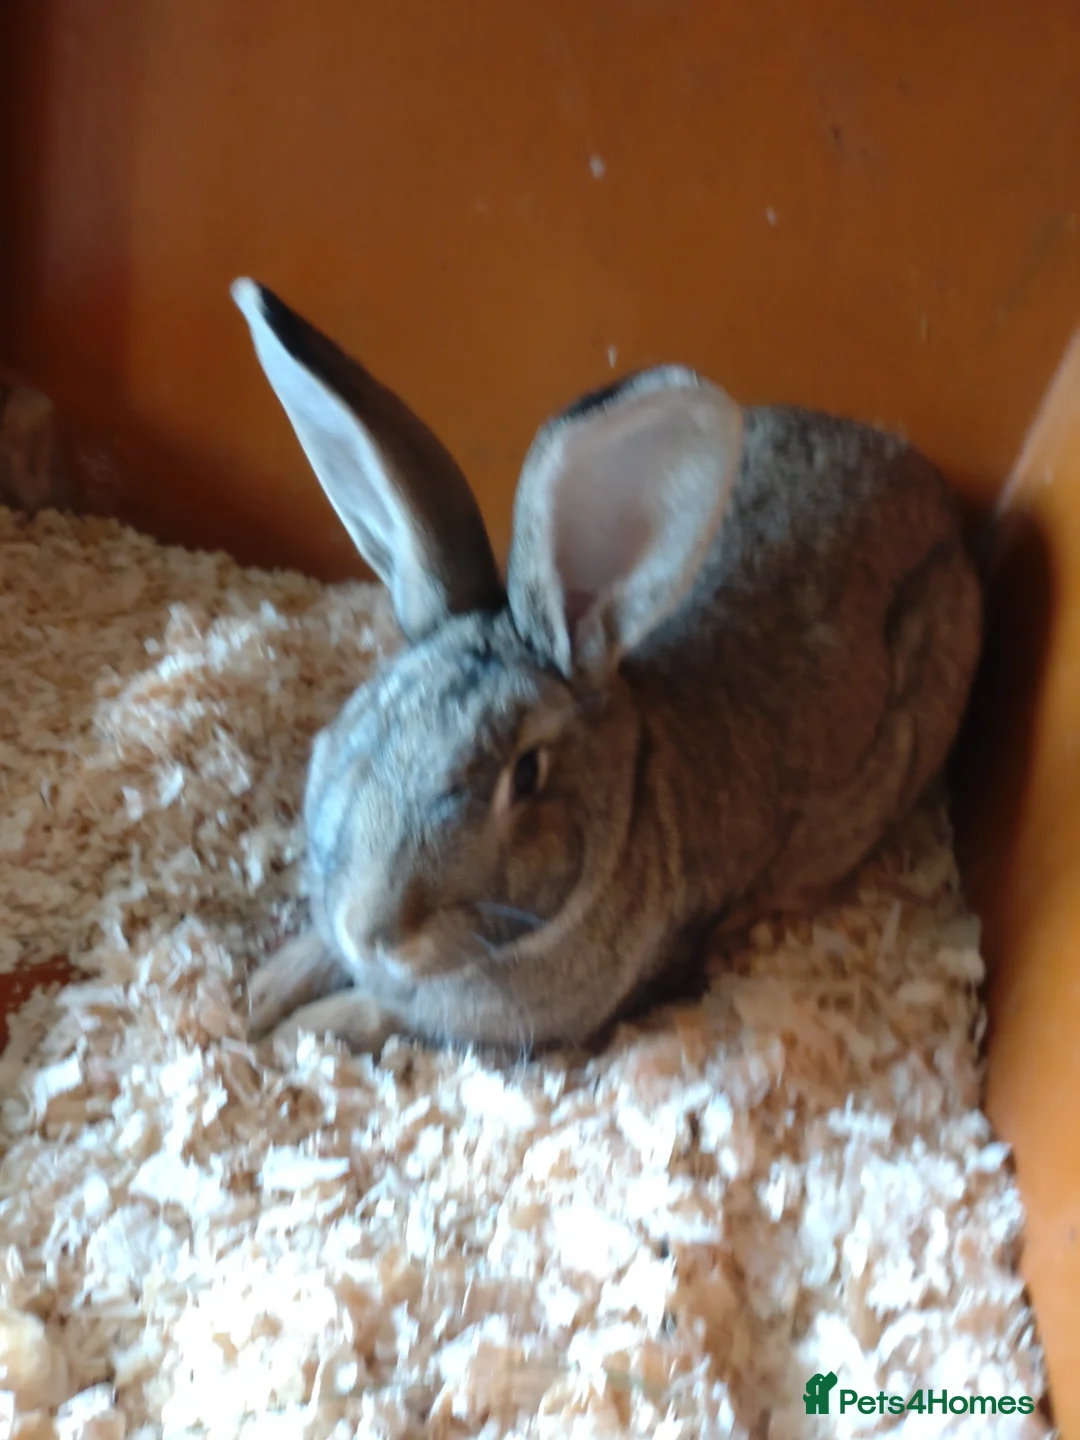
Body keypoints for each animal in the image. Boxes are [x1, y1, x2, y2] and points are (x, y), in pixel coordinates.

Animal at [232, 277, 982, 1056]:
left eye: (527, 776)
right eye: (373, 718)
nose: (375, 930)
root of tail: (936, 495)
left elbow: (382, 1014)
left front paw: (294, 1031)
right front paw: (263, 994)